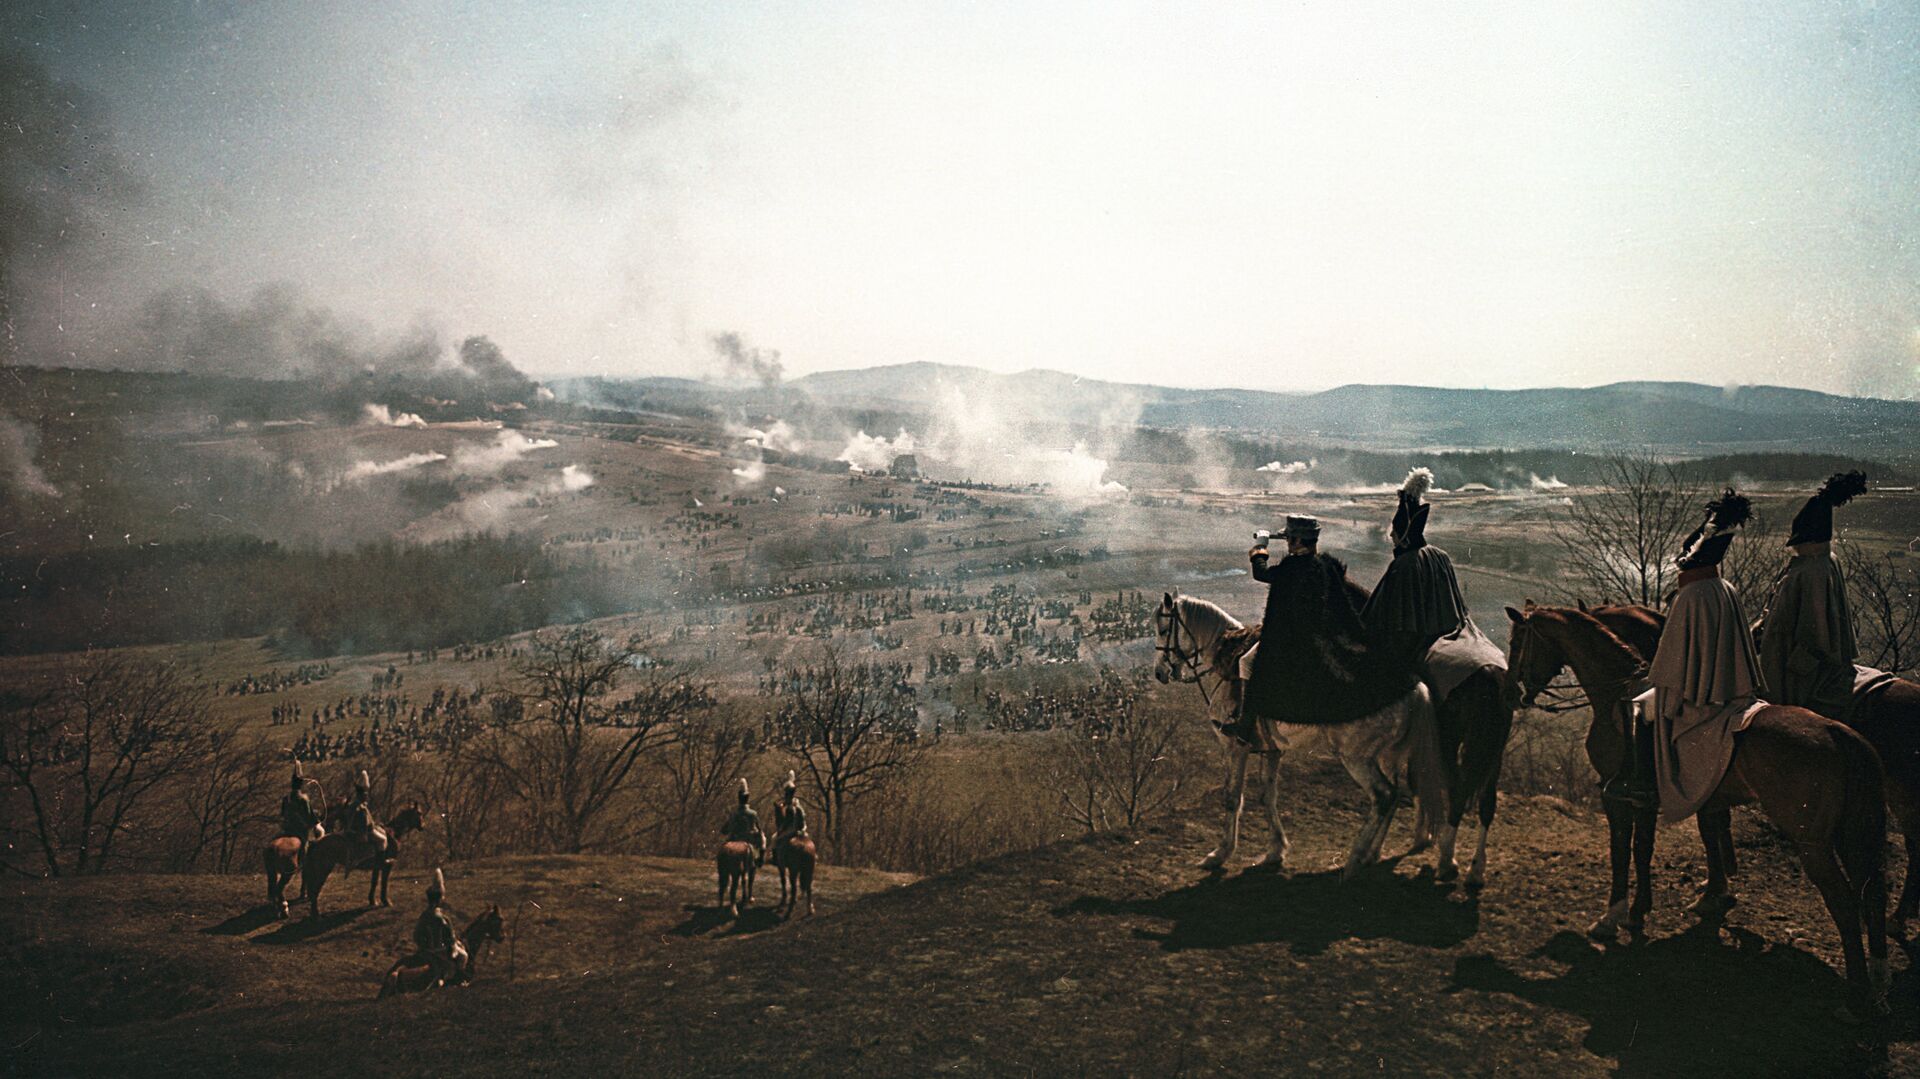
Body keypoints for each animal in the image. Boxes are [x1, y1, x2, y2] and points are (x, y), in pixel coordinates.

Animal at [1144, 591, 1443, 879]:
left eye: (1162, 628)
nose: (1159, 672)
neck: (1225, 664)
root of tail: (1414, 687)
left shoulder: (1235, 747)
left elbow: (1232, 798)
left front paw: (1220, 853)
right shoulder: (1272, 751)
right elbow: (1268, 795)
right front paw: (1276, 850)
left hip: (1355, 756)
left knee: (1383, 795)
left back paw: (1355, 859)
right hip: (1386, 755)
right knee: (1395, 795)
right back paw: (1372, 854)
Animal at [1497, 606, 1889, 1013]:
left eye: (1517, 641)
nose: (1509, 692)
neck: (1617, 696)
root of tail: (1836, 732)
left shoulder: (1617, 797)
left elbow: (1624, 852)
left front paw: (1614, 915)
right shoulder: (1653, 801)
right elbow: (1646, 850)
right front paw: (1642, 910)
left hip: (1813, 845)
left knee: (1845, 903)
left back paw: (1857, 993)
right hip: (1849, 835)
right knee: (1873, 893)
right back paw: (1878, 978)